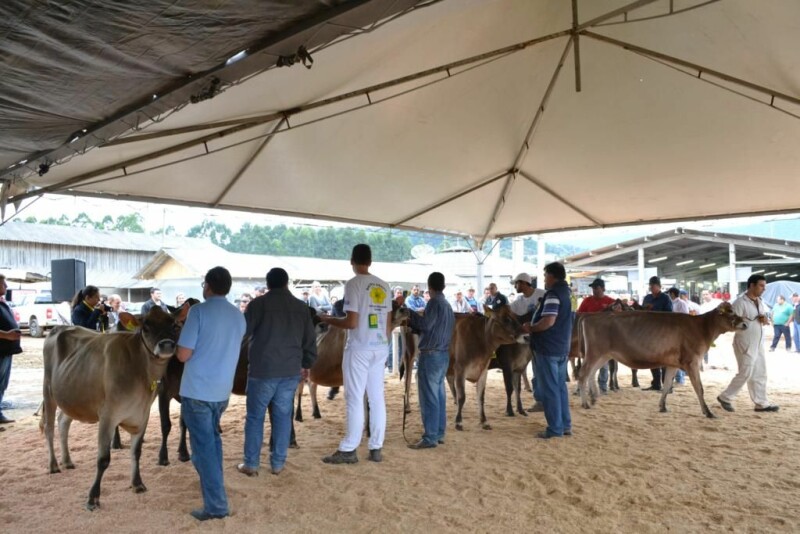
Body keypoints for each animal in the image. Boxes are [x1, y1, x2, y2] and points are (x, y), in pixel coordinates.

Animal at [41, 308, 184, 512]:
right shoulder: (108, 416)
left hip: (71, 398)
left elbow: (136, 452)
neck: (141, 373)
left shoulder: (143, 415)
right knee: (49, 428)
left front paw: (137, 483)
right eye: (146, 327)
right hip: (48, 391)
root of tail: (59, 327)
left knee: (63, 423)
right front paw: (93, 497)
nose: (166, 345)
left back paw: (67, 461)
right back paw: (53, 465)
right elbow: (103, 459)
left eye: (174, 325)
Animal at [580, 304, 748, 420]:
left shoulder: (673, 364)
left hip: (604, 355)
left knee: (591, 373)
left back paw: (594, 398)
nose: (745, 324)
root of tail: (590, 317)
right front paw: (708, 412)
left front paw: (662, 407)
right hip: (595, 353)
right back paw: (585, 403)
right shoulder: (692, 361)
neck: (702, 327)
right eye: (730, 312)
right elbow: (699, 389)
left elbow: (666, 385)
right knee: (583, 374)